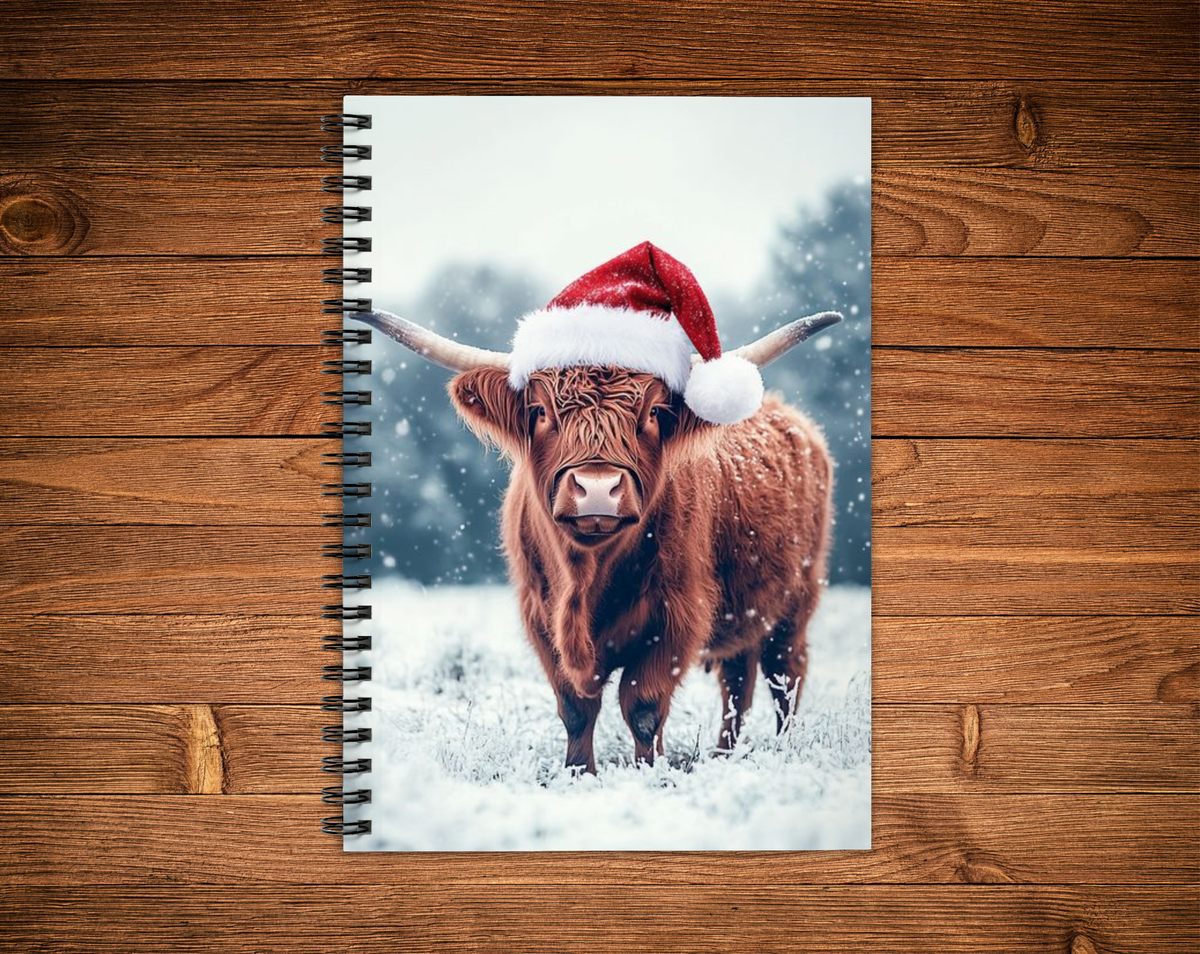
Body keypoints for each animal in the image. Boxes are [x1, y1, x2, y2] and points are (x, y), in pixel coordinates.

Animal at [358, 244, 838, 773]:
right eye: (540, 411)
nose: (596, 488)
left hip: (796, 602)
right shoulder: (541, 615)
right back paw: (723, 754)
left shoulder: (677, 615)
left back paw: (780, 750)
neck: (585, 577)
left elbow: (643, 704)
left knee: (783, 677)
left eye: (655, 413)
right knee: (738, 680)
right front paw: (577, 772)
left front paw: (650, 772)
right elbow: (575, 706)